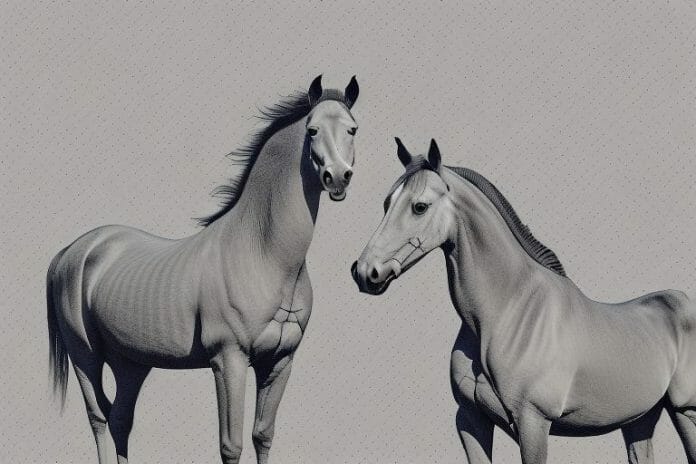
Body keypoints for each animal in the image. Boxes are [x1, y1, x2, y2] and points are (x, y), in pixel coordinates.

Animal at [47, 75, 360, 464]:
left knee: (120, 419)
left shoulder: (280, 362)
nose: (338, 178)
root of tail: (73, 251)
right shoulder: (228, 360)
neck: (262, 253)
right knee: (99, 419)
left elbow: (262, 435)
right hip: (84, 356)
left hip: (130, 362)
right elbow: (231, 444)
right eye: (313, 129)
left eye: (353, 129)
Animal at [352, 138, 696, 464]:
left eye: (420, 206)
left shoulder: (532, 422)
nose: (365, 272)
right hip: (640, 418)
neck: (505, 313)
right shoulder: (469, 420)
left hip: (686, 413)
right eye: (387, 203)